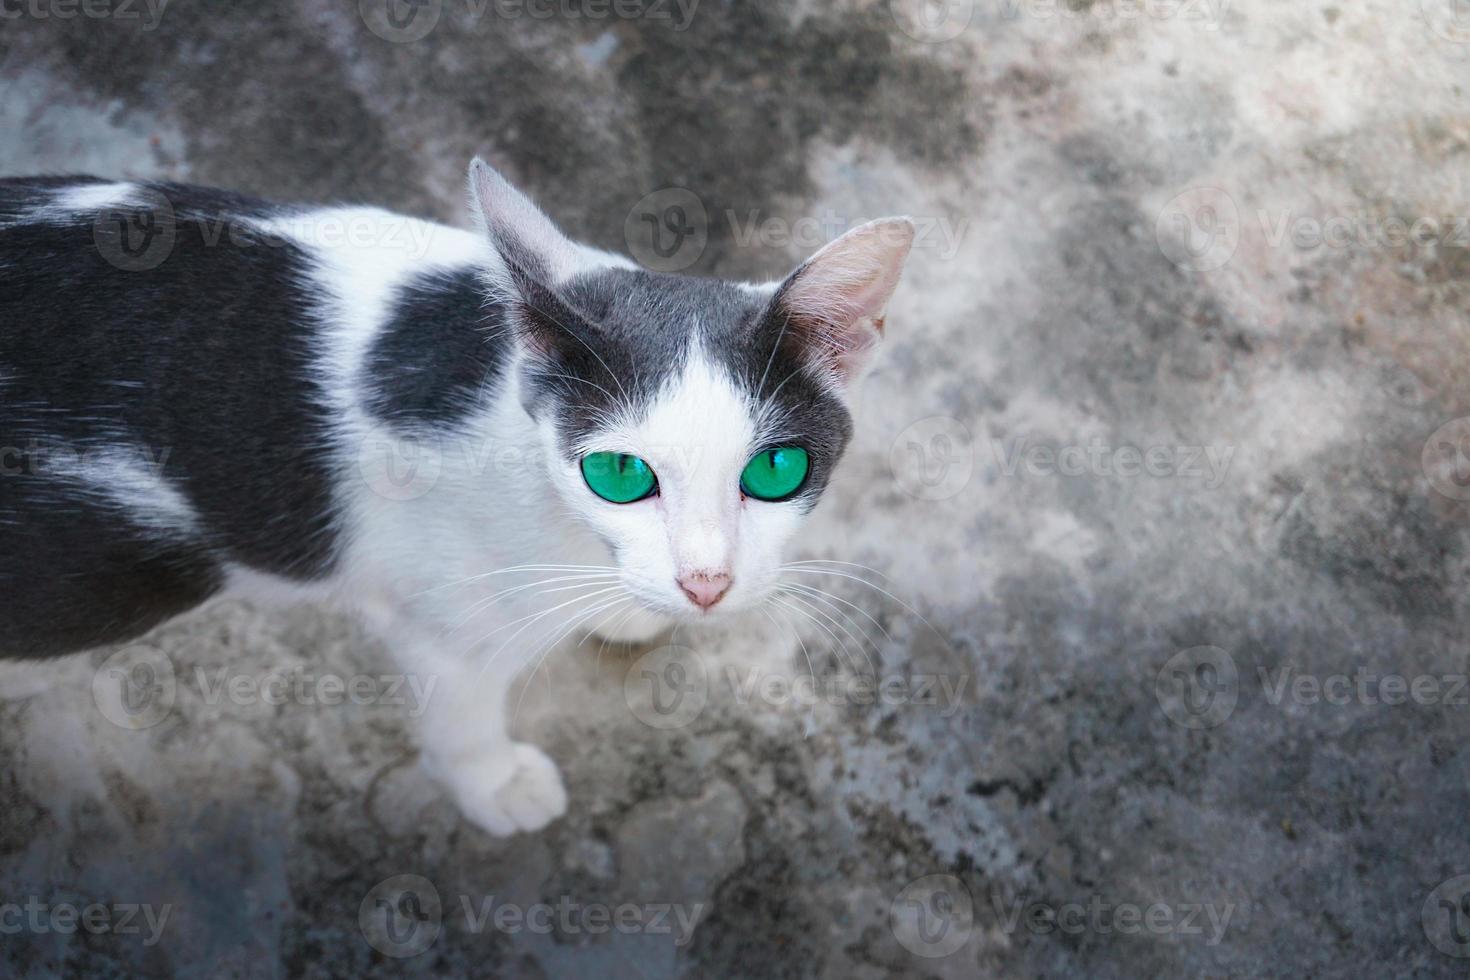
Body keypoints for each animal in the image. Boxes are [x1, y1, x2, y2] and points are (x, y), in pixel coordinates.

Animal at [0, 159, 911, 834]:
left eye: (775, 472)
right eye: (621, 476)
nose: (706, 584)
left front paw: (626, 606)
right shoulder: (443, 626)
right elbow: (462, 716)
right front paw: (494, 783)